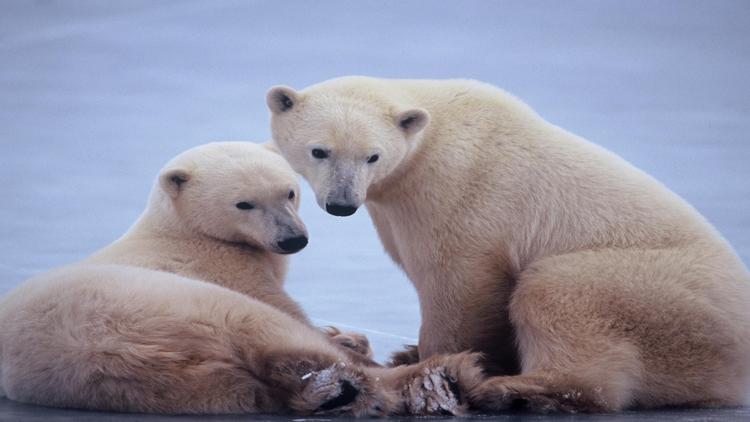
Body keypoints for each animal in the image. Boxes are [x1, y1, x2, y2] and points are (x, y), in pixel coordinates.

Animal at [0, 142, 484, 416]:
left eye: (289, 191)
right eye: (243, 203)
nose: (293, 239)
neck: (185, 232)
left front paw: (346, 335)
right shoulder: (226, 267)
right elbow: (285, 309)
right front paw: (349, 339)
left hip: (198, 389)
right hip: (175, 305)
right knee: (272, 333)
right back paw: (443, 373)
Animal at [268, 76, 750, 412]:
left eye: (373, 155)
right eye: (319, 151)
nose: (342, 204)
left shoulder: (458, 191)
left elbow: (460, 282)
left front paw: (437, 364)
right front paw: (406, 353)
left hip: (661, 299)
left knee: (560, 291)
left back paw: (516, 390)